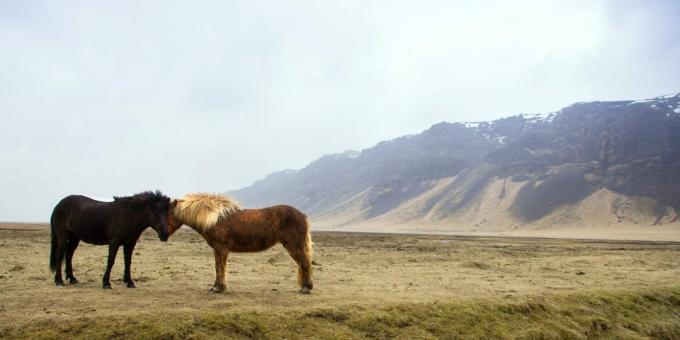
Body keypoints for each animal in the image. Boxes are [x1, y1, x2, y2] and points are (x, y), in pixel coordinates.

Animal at [166, 194, 314, 294]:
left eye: (168, 213)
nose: (164, 235)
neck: (215, 219)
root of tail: (303, 216)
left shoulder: (220, 249)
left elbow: (219, 267)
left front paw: (218, 288)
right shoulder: (219, 250)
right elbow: (219, 267)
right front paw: (217, 287)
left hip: (294, 246)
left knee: (305, 263)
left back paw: (306, 288)